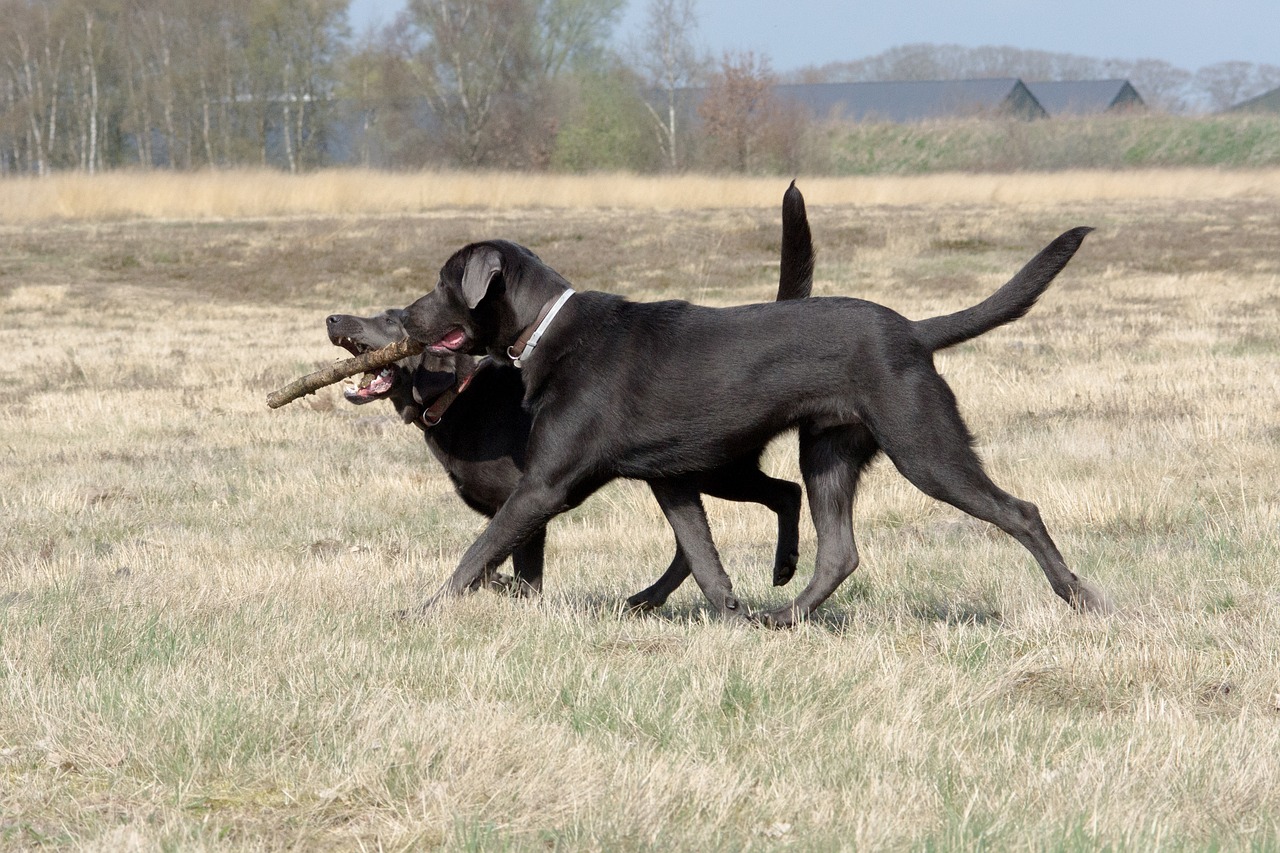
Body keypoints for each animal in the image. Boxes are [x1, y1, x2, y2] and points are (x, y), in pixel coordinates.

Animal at [325, 181, 814, 601]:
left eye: (388, 319)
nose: (332, 318)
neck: (460, 394)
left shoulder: (530, 496)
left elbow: (492, 559)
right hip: (704, 471)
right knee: (773, 499)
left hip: (711, 467)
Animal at [401, 197, 1111, 625]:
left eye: (442, 283)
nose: (404, 318)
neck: (547, 327)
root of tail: (914, 333)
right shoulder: (672, 480)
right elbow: (703, 557)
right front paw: (730, 614)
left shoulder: (544, 486)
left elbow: (478, 550)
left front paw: (422, 611)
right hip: (827, 452)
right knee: (838, 552)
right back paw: (784, 616)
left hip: (924, 446)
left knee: (1020, 511)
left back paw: (1081, 597)